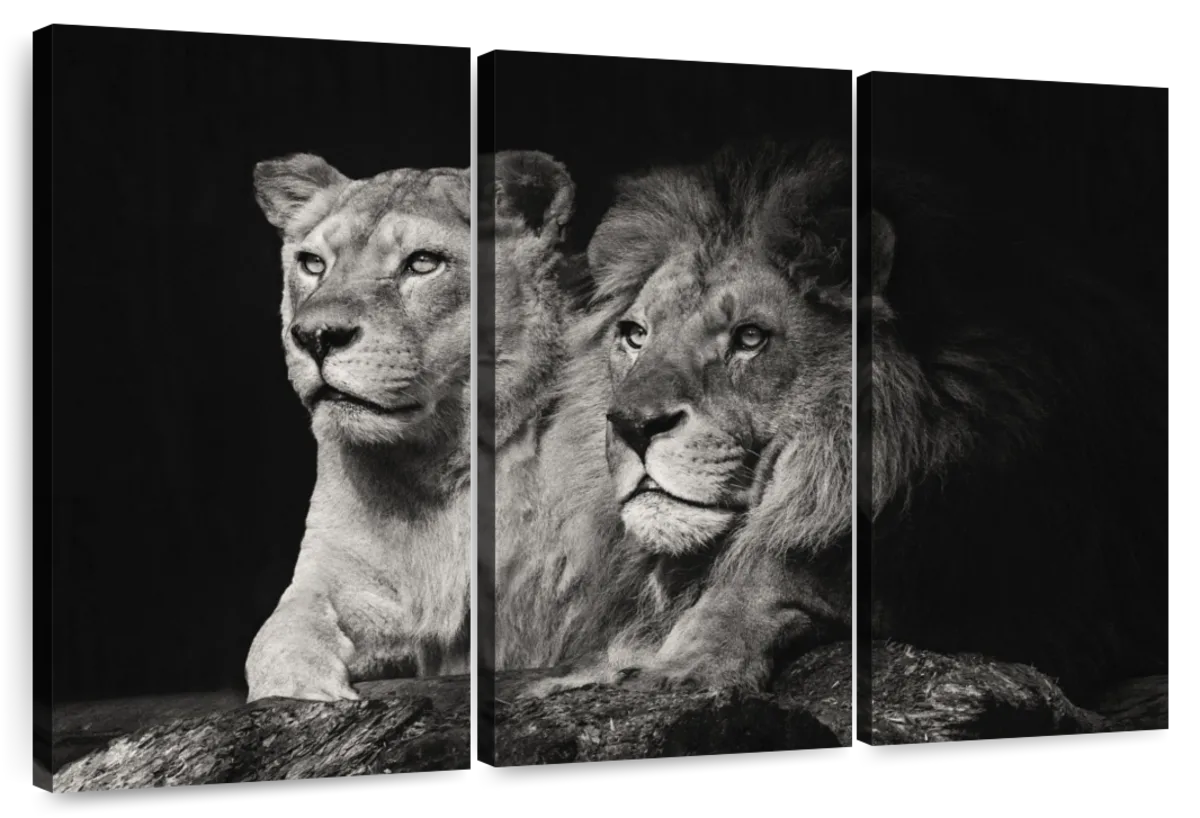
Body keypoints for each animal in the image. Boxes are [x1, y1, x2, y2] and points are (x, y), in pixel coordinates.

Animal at [245, 153, 472, 703]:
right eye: (313, 264)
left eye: (422, 263)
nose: (316, 336)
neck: (428, 466)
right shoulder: (335, 577)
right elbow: (275, 637)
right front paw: (304, 690)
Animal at [504, 138, 1175, 709]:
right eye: (635, 335)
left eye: (750, 338)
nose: (632, 425)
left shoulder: (1033, 601)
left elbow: (786, 564)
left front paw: (686, 659)